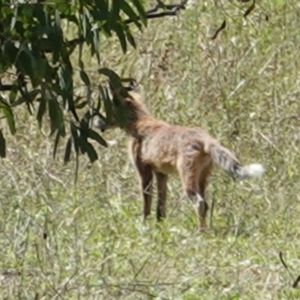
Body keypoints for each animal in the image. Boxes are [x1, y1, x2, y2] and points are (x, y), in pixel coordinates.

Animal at [95, 86, 264, 232]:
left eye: (105, 110)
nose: (95, 122)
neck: (139, 124)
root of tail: (206, 139)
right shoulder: (161, 173)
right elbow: (160, 206)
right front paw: (160, 228)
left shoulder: (144, 172)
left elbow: (146, 205)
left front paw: (144, 226)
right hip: (202, 179)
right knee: (206, 204)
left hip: (187, 180)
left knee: (200, 204)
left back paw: (200, 233)